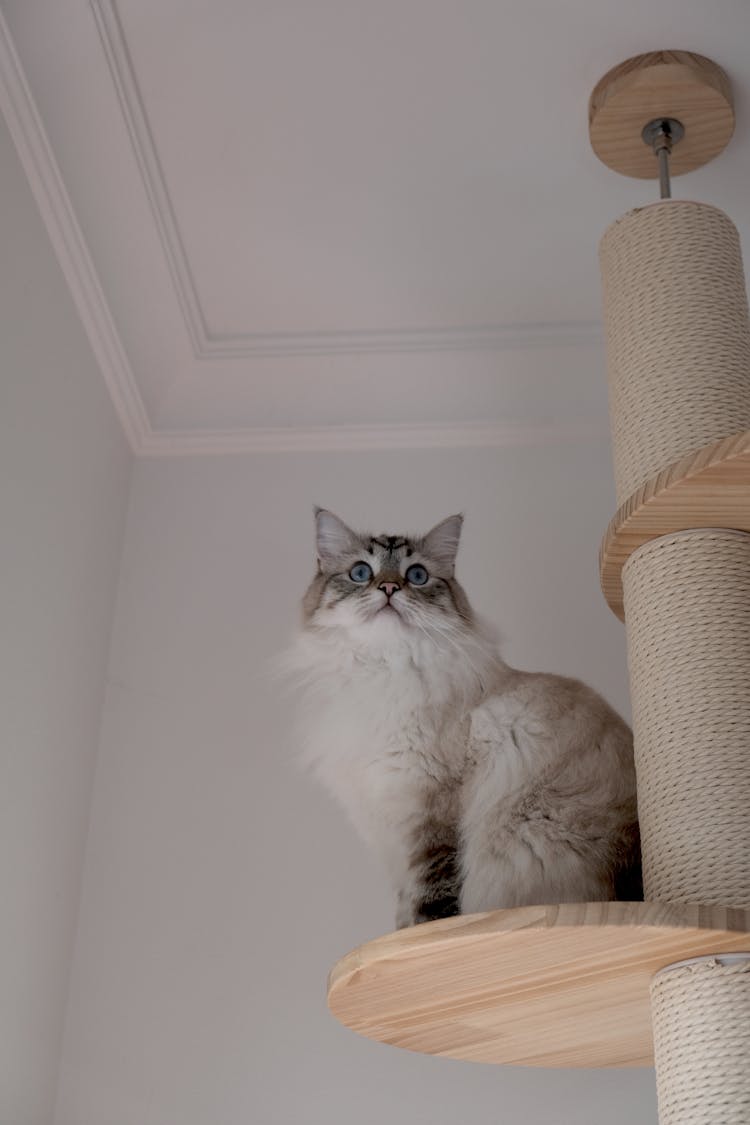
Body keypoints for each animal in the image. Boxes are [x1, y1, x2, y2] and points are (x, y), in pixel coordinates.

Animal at [285, 506, 638, 927]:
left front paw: (421, 937)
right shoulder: (391, 831)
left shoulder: (431, 815)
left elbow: (431, 903)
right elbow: (403, 910)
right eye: (360, 572)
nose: (388, 588)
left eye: (416, 576)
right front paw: (399, 936)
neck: (384, 672)